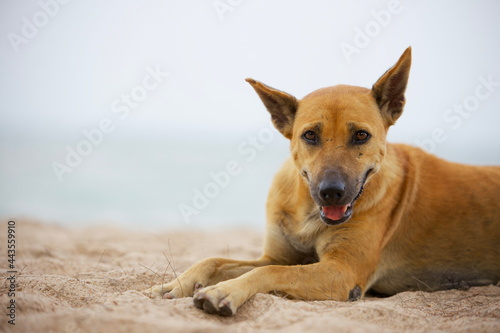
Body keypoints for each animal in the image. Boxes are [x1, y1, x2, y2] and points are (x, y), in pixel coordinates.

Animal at [144, 46, 500, 314]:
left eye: (361, 135)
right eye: (310, 135)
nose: (331, 193)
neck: (307, 211)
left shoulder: (341, 273)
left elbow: (267, 271)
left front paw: (225, 291)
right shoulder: (279, 254)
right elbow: (217, 259)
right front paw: (176, 284)